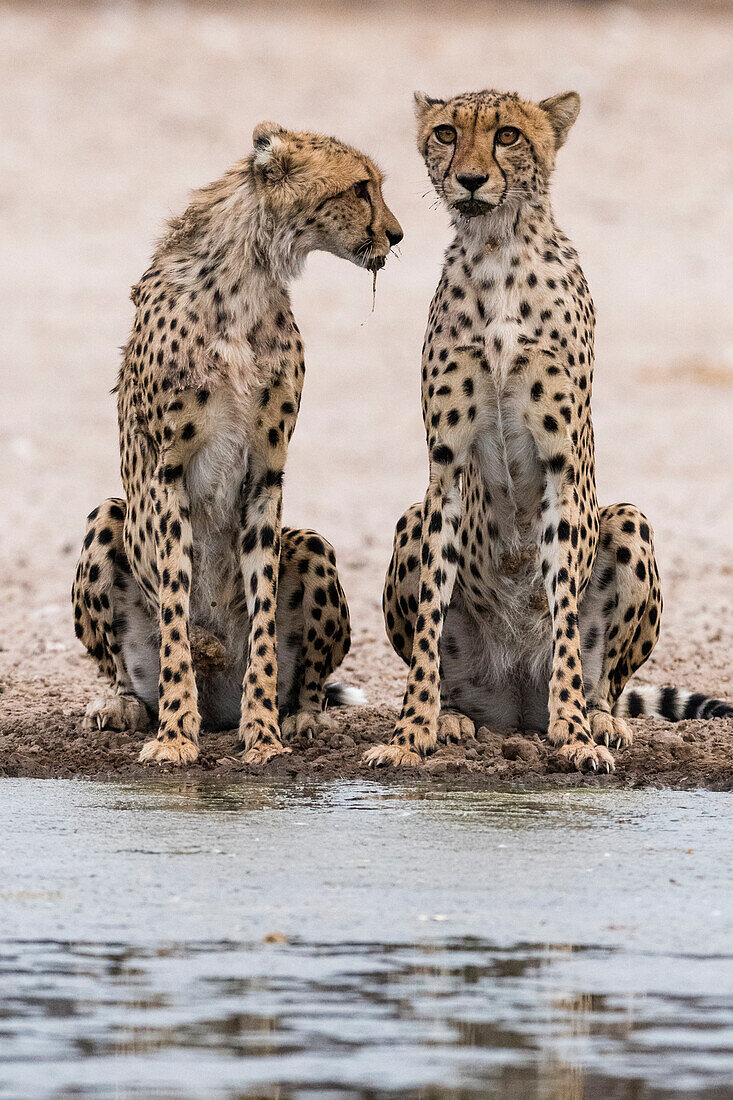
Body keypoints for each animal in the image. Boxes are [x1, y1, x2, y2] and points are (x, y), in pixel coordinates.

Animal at [72, 122, 402, 765]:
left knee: (311, 677)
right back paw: (126, 705)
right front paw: (176, 734)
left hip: (313, 545)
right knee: (122, 668)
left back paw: (300, 716)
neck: (245, 277)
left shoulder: (265, 470)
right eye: (360, 187)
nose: (396, 234)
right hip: (107, 518)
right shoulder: (166, 474)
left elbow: (262, 611)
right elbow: (176, 609)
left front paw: (264, 735)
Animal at [365, 88, 730, 774]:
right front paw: (410, 734)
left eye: (507, 135)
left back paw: (599, 719)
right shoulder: (444, 470)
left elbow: (561, 612)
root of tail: (514, 708)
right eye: (447, 133)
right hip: (410, 520)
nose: (471, 179)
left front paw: (576, 735)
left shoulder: (565, 466)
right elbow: (428, 618)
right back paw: (453, 718)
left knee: (604, 678)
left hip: (628, 520)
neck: (496, 253)